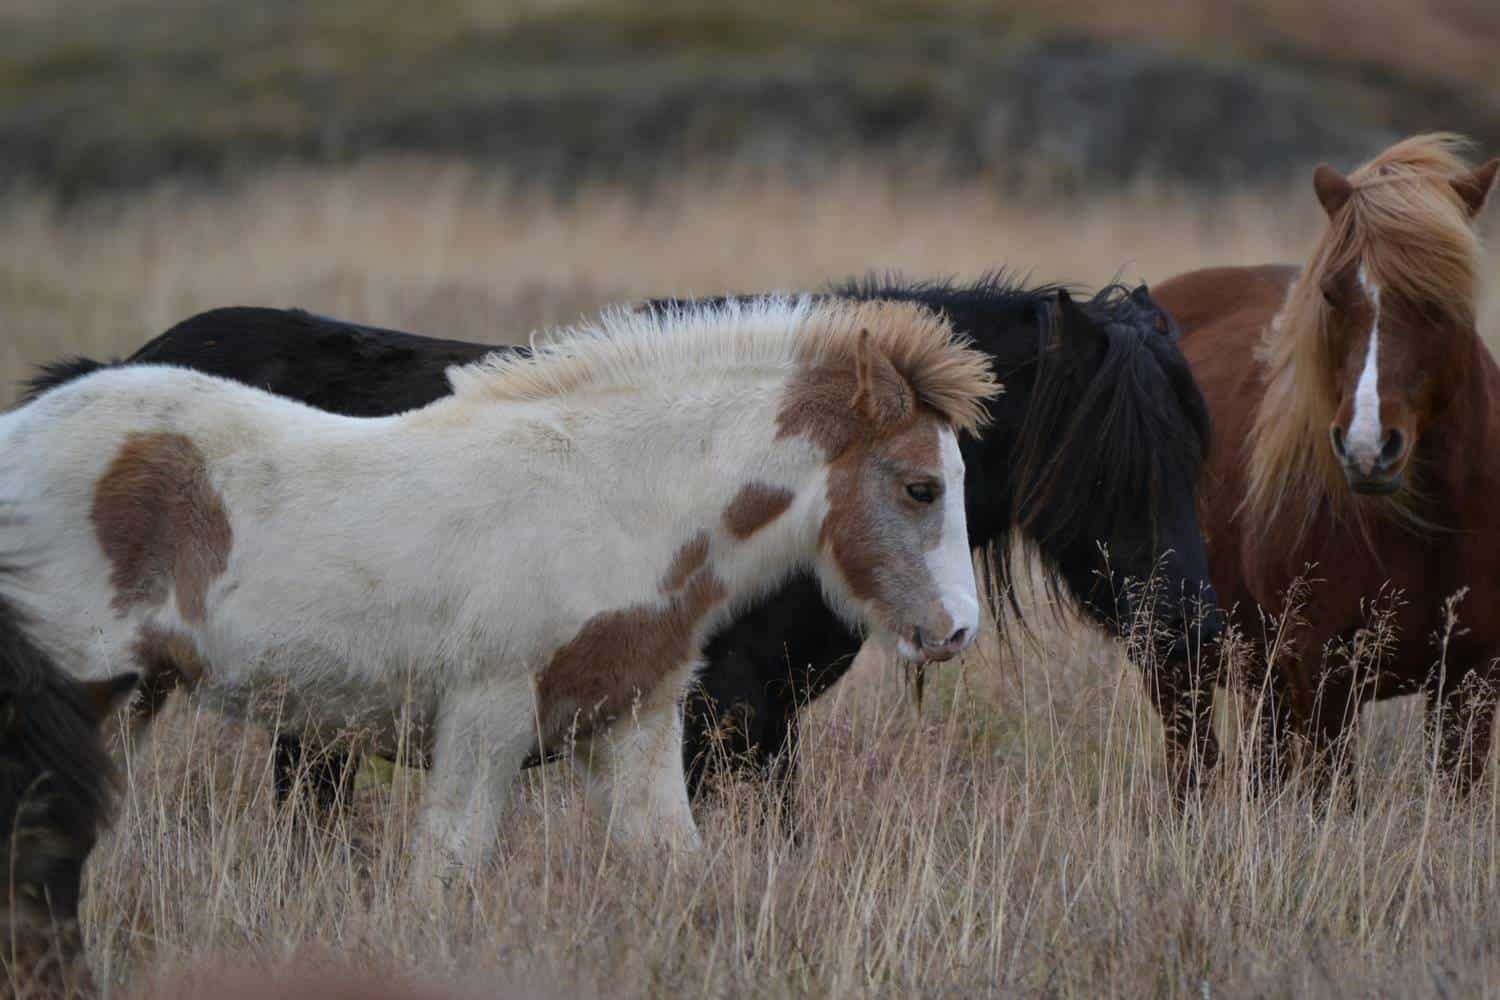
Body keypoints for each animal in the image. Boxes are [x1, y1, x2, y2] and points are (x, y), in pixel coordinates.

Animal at [0, 301, 996, 881]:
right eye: (920, 487)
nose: (954, 631)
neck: (607, 498)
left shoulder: (635, 718)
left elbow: (676, 865)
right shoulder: (486, 716)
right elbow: (450, 869)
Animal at [1152, 132, 1500, 791]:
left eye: (1438, 300)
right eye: (1335, 293)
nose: (1367, 448)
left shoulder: (1473, 677)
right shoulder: (1326, 678)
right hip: (1170, 650)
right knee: (1193, 764)